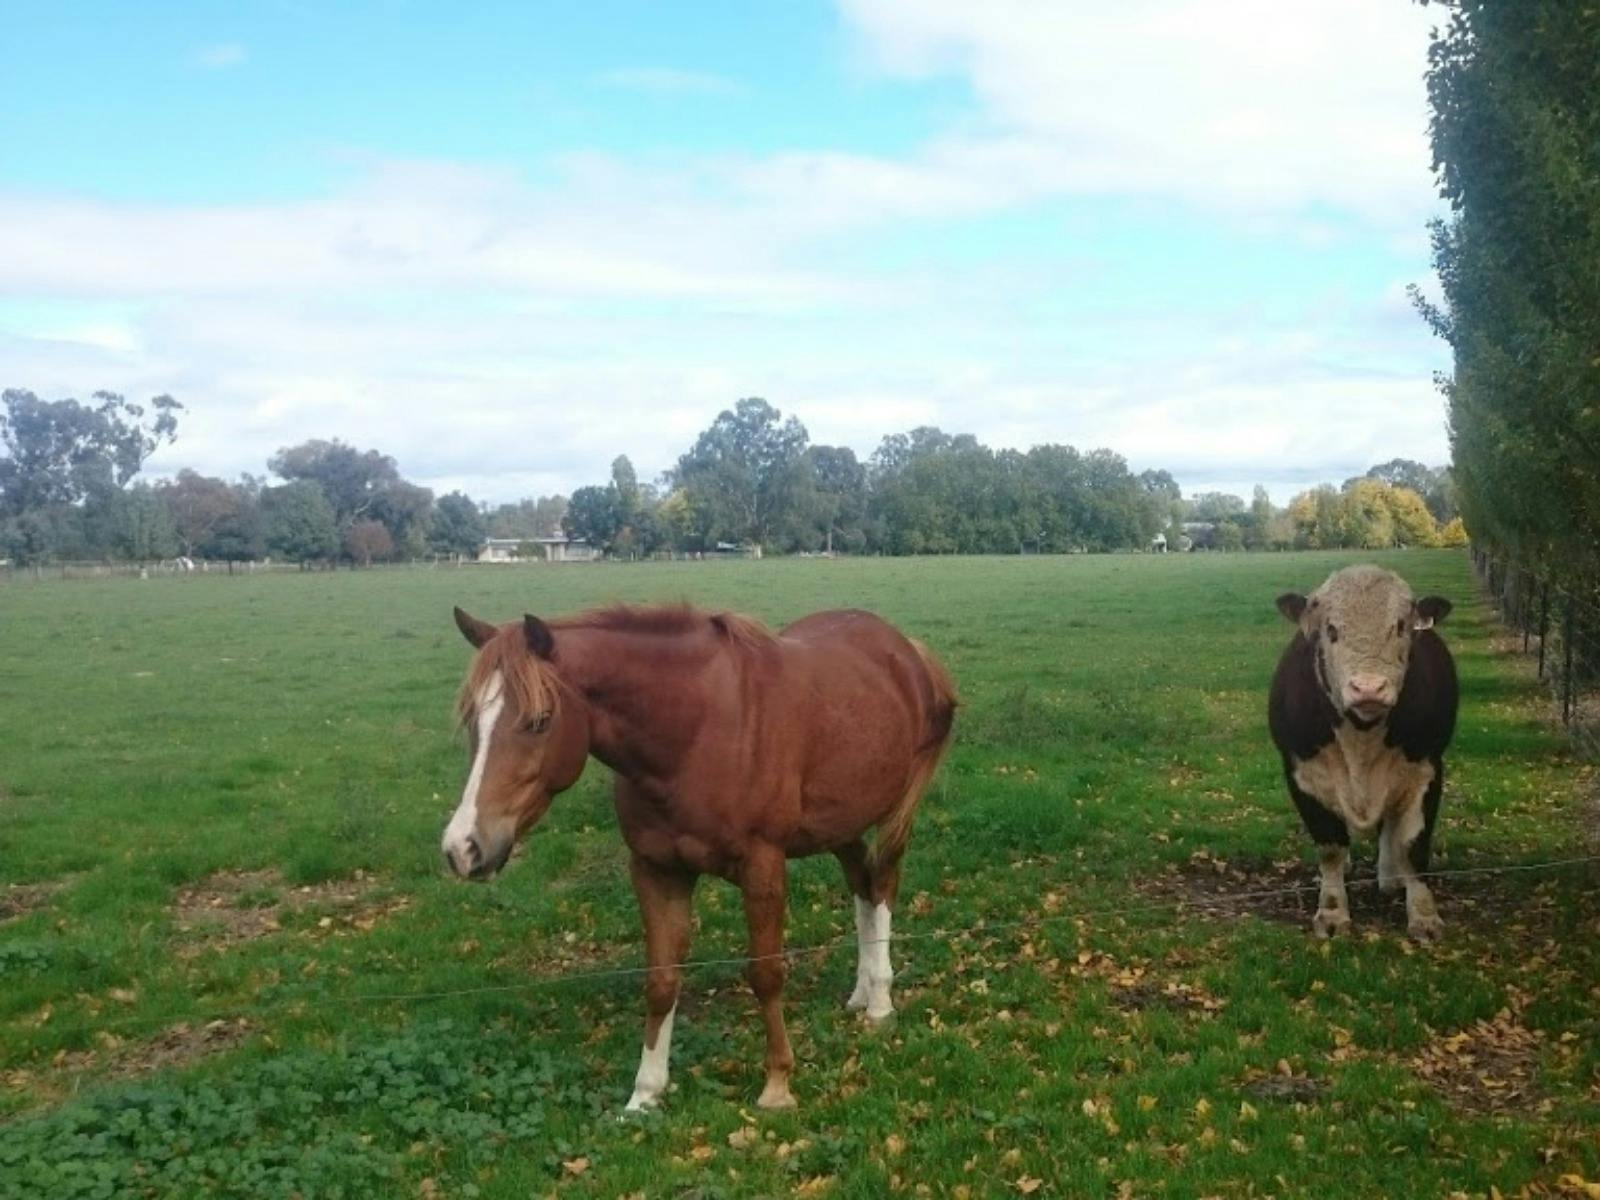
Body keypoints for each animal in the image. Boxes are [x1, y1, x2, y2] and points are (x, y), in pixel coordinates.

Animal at [440, 603, 957, 1111]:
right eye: (471, 721)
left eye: (540, 720)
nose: (463, 848)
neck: (694, 734)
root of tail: (906, 649)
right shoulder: (657, 870)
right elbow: (662, 980)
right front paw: (645, 1092)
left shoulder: (763, 867)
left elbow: (766, 973)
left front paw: (777, 1083)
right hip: (840, 821)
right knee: (861, 886)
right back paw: (861, 991)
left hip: (893, 814)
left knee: (883, 884)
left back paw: (880, 1001)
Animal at [1268, 565, 1458, 940]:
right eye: (1330, 629)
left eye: (1400, 626)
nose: (1368, 687)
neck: (1362, 737)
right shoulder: (1302, 775)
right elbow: (1330, 848)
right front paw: (1332, 914)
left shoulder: (1426, 770)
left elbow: (1413, 847)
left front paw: (1425, 918)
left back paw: (1390, 876)